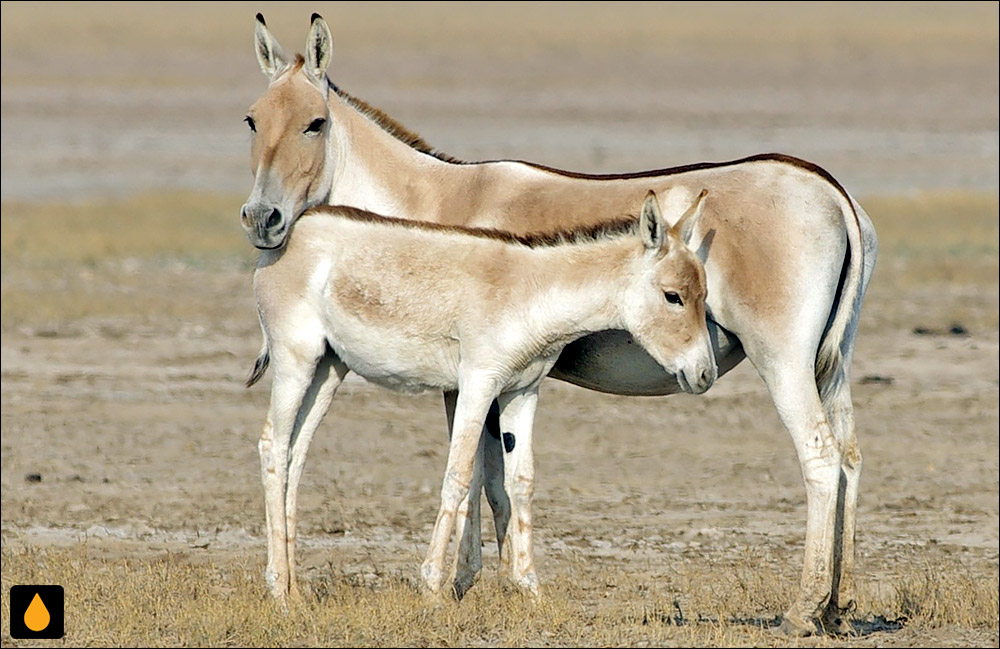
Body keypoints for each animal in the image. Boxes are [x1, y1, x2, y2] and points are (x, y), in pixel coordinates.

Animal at [252, 187, 720, 596]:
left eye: (705, 295)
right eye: (673, 297)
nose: (705, 374)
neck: (530, 294)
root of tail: (293, 232)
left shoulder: (523, 391)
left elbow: (521, 481)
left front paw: (530, 588)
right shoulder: (478, 383)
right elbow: (459, 476)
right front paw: (432, 586)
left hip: (329, 367)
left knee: (296, 453)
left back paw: (296, 591)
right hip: (296, 359)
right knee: (273, 445)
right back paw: (278, 589)